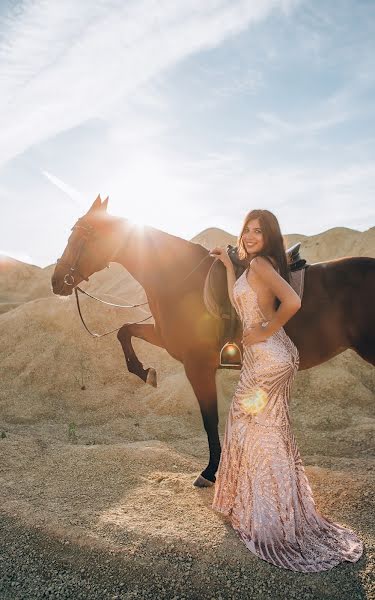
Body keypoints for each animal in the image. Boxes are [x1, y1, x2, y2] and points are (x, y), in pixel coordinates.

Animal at [51, 197, 374, 488]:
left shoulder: (198, 366)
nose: (56, 280)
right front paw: (145, 372)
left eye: (81, 236)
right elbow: (124, 331)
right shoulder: (167, 339)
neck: (179, 279)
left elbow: (209, 419)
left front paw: (210, 471)